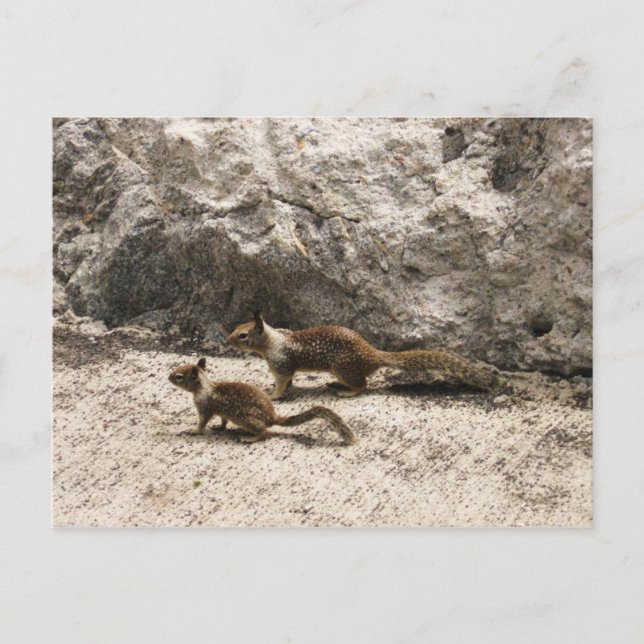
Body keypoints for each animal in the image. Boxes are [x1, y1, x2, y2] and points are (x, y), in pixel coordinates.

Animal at [168, 357, 355, 444]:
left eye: (179, 376)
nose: (168, 377)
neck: (204, 387)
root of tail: (272, 417)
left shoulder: (205, 407)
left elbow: (202, 422)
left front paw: (194, 430)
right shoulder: (221, 412)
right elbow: (222, 420)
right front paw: (219, 427)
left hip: (245, 418)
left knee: (265, 432)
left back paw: (250, 438)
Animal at [227, 311, 500, 399]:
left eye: (243, 335)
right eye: (238, 326)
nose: (227, 340)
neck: (273, 341)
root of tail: (373, 354)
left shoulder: (281, 364)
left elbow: (282, 383)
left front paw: (272, 395)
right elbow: (290, 380)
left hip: (343, 367)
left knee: (363, 385)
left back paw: (346, 391)